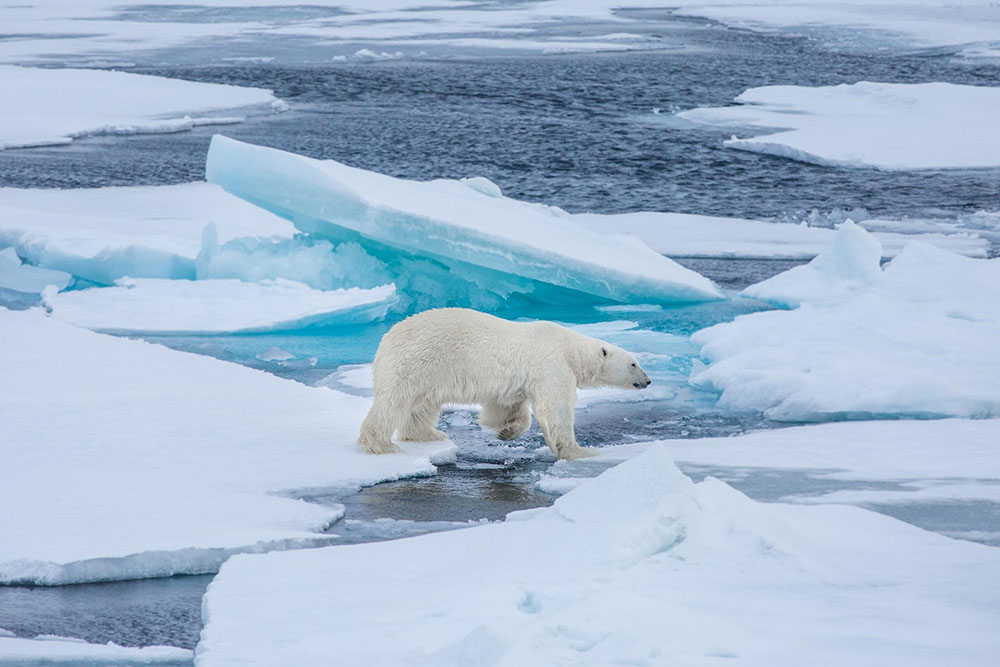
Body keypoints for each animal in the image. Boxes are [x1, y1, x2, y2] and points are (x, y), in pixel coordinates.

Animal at [356, 308, 652, 460]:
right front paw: (579, 450)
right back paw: (382, 444)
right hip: (417, 361)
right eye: (633, 364)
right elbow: (556, 409)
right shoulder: (550, 366)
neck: (569, 349)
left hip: (429, 374)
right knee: (394, 402)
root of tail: (387, 337)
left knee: (423, 406)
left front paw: (506, 432)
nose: (648, 380)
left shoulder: (515, 383)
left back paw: (428, 433)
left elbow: (505, 407)